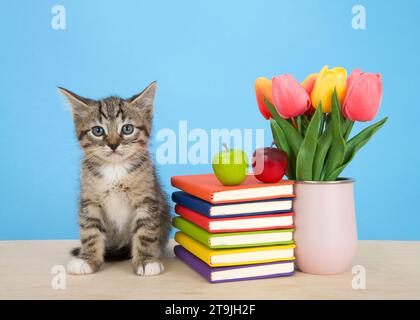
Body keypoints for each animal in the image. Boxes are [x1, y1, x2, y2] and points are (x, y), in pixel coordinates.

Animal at [59, 82, 171, 276]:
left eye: (127, 129)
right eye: (98, 131)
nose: (113, 145)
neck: (115, 169)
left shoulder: (148, 199)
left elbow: (146, 230)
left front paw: (146, 261)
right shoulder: (89, 200)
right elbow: (90, 231)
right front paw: (87, 259)